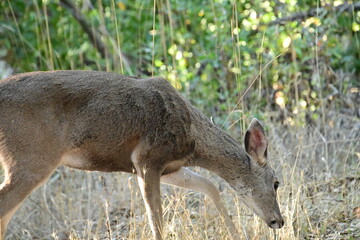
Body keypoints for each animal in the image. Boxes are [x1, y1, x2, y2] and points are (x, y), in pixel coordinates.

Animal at [0, 71, 284, 240]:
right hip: (31, 158)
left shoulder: (170, 167)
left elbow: (210, 186)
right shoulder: (148, 160)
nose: (278, 221)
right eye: (276, 183)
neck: (193, 135)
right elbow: (155, 220)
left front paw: (236, 233)